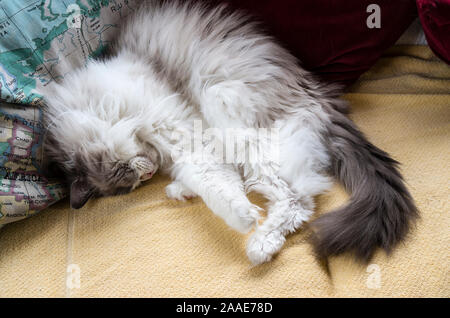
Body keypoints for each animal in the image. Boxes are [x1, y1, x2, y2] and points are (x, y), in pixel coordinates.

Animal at [40, 0, 416, 264]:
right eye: (131, 187)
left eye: (124, 173)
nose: (146, 176)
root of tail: (318, 93)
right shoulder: (185, 144)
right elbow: (211, 178)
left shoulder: (180, 129)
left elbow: (214, 185)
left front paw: (243, 216)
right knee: (295, 197)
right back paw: (184, 195)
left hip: (232, 116)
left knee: (297, 200)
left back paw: (259, 245)